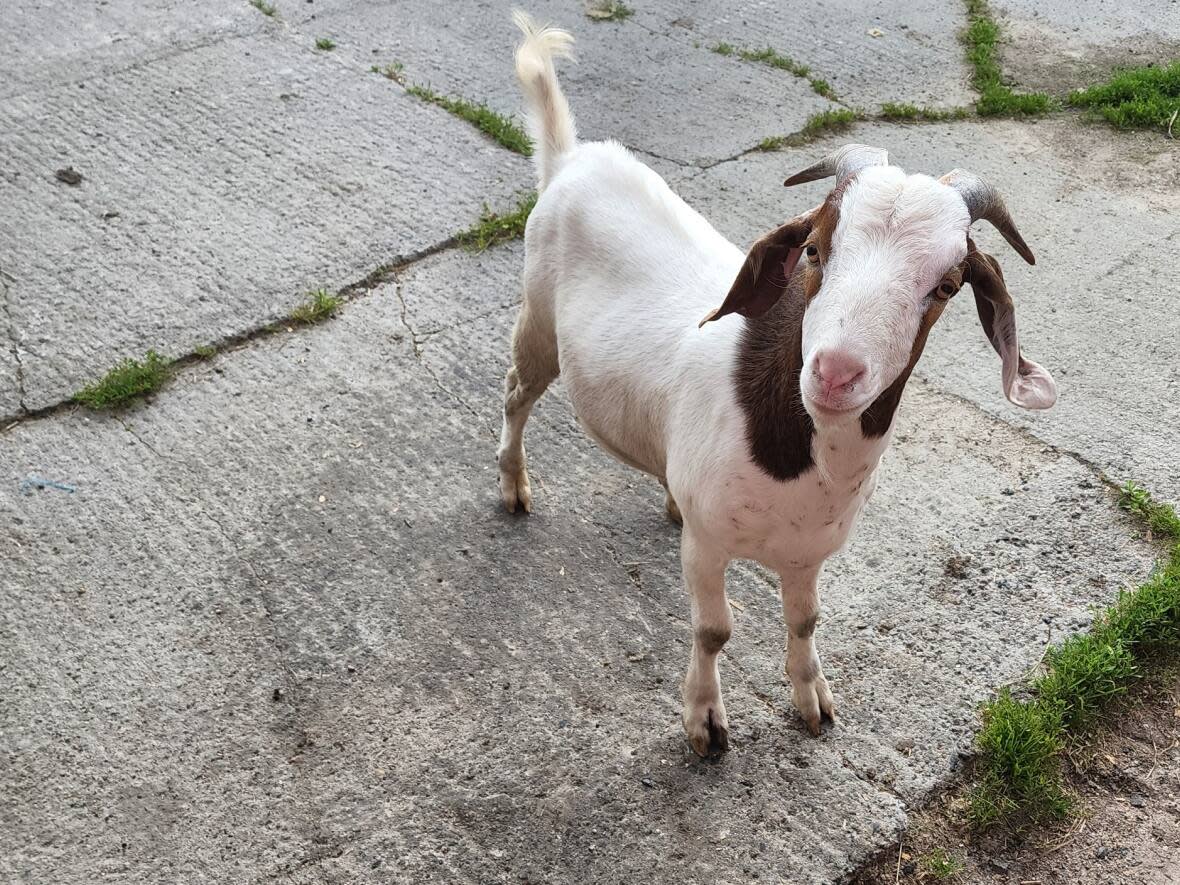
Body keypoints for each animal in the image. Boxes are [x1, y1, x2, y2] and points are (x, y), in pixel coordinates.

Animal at [497, 12, 1062, 755]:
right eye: (814, 248)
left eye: (945, 285)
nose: (835, 371)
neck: (792, 451)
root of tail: (571, 160)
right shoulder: (708, 548)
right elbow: (714, 628)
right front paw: (705, 721)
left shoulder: (808, 552)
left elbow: (805, 622)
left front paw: (811, 700)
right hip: (538, 323)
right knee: (516, 392)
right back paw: (512, 485)